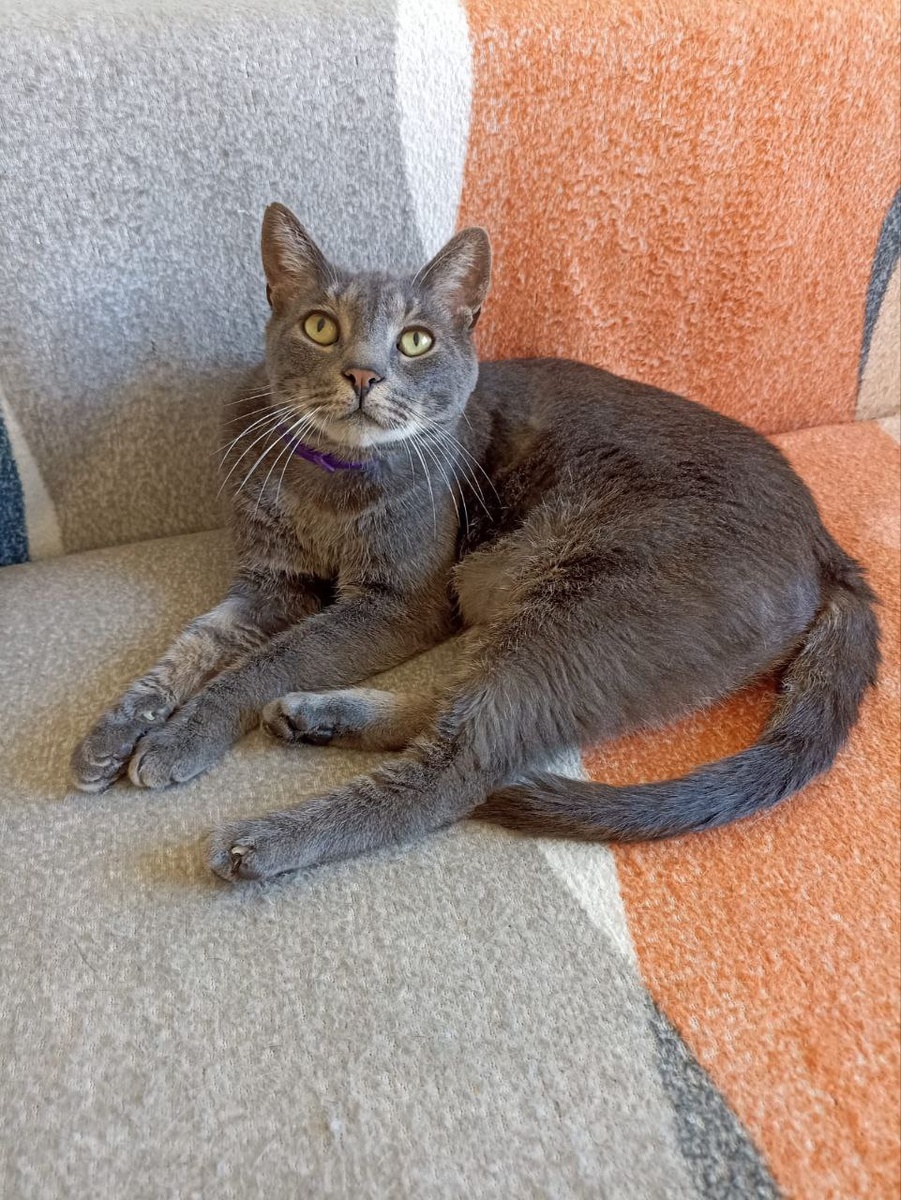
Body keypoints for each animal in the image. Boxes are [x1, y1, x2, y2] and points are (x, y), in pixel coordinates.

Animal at [71, 203, 880, 883]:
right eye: (320, 327)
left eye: (416, 341)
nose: (363, 374)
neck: (329, 485)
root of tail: (828, 547)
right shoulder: (271, 580)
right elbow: (192, 647)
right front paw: (111, 737)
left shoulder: (400, 602)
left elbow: (268, 661)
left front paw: (178, 741)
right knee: (464, 707)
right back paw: (315, 719)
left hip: (586, 600)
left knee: (460, 763)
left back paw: (263, 840)